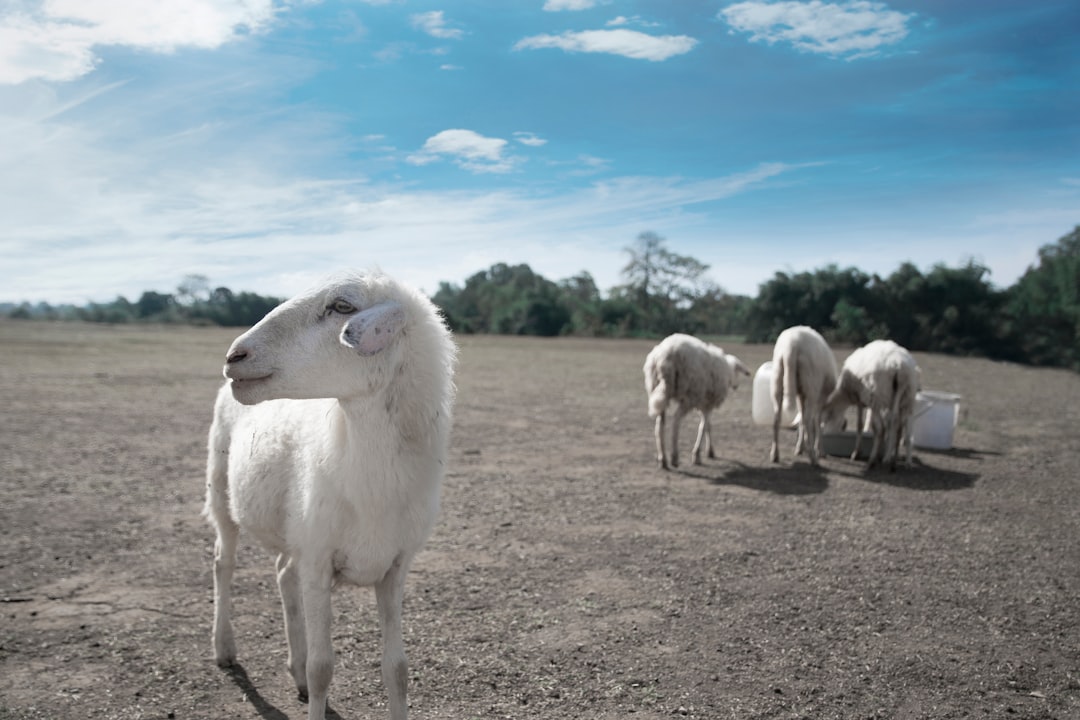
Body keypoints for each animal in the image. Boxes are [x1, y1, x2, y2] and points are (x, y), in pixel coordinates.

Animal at [203, 268, 455, 720]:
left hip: (298, 531)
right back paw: (225, 648)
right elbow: (323, 670)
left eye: (342, 306)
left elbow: (398, 670)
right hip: (220, 490)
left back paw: (295, 668)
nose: (235, 356)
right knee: (223, 562)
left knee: (284, 572)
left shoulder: (394, 568)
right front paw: (313, 677)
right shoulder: (319, 564)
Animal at [639, 334, 751, 470]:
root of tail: (666, 356)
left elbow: (708, 426)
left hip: (657, 388)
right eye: (738, 371)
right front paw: (697, 455)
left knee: (659, 425)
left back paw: (663, 460)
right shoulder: (708, 403)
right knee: (676, 421)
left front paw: (710, 451)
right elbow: (703, 427)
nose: (736, 386)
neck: (728, 370)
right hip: (690, 394)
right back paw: (674, 457)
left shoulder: (704, 403)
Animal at [768, 325, 842, 468]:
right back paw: (813, 459)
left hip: (778, 380)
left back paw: (775, 455)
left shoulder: (801, 395)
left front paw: (800, 448)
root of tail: (791, 346)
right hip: (811, 385)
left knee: (776, 419)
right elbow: (817, 421)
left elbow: (801, 418)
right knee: (808, 420)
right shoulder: (820, 398)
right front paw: (820, 450)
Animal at [825, 338, 920, 470]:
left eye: (827, 418)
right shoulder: (868, 401)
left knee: (883, 428)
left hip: (878, 396)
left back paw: (876, 460)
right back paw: (898, 461)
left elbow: (860, 425)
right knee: (900, 426)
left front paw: (856, 453)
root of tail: (900, 367)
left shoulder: (861, 400)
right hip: (907, 398)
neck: (845, 394)